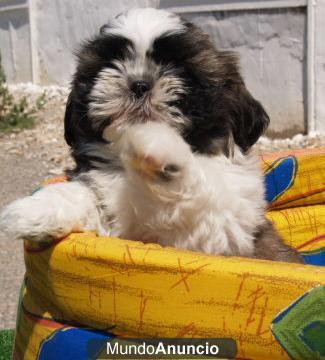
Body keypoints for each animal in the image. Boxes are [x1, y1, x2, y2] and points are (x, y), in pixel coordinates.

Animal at [0, 8, 302, 262]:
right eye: (113, 63)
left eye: (180, 70)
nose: (139, 84)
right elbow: (84, 194)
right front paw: (32, 211)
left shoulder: (219, 233)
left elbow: (195, 190)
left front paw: (156, 141)